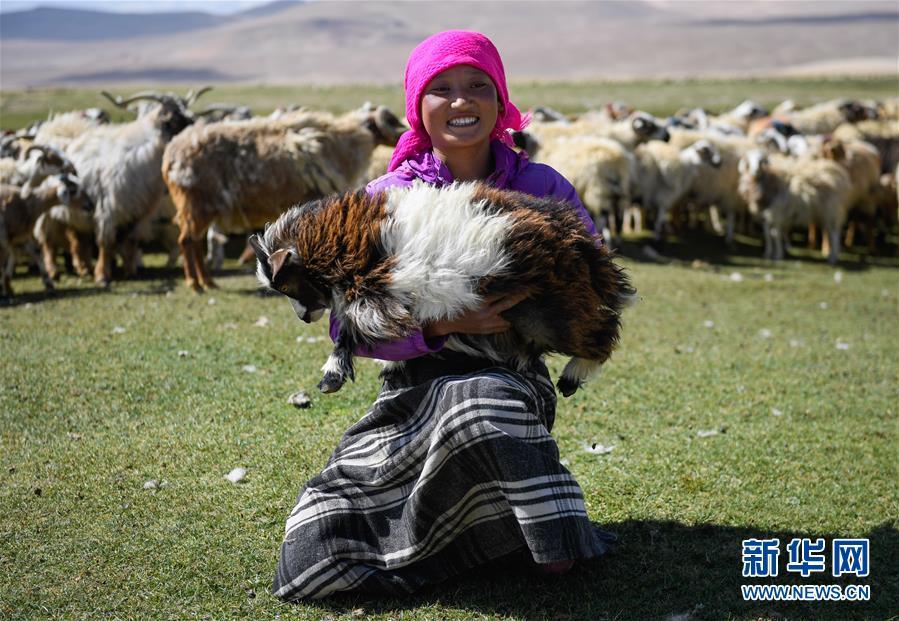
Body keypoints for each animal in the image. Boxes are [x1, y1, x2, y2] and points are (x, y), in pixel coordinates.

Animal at [66, 91, 199, 284]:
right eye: (176, 118)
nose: (196, 128)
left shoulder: (138, 212)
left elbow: (131, 242)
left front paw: (130, 271)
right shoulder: (108, 209)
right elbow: (106, 243)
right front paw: (102, 276)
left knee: (81, 239)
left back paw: (86, 267)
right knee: (75, 239)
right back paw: (83, 269)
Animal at [163, 104, 408, 290]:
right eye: (391, 121)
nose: (404, 132)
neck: (343, 141)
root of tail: (170, 157)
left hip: (199, 208)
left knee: (194, 241)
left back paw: (208, 282)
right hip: (196, 205)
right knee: (187, 241)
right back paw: (195, 284)